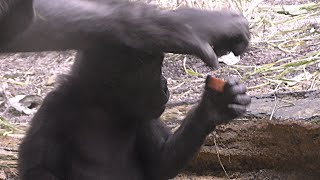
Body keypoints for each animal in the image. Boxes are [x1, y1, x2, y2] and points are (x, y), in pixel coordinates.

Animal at [1, 0, 250, 180]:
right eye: (154, 72)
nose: (165, 86)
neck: (103, 106)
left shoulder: (145, 115)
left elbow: (160, 163)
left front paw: (213, 108)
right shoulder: (54, 109)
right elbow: (39, 170)